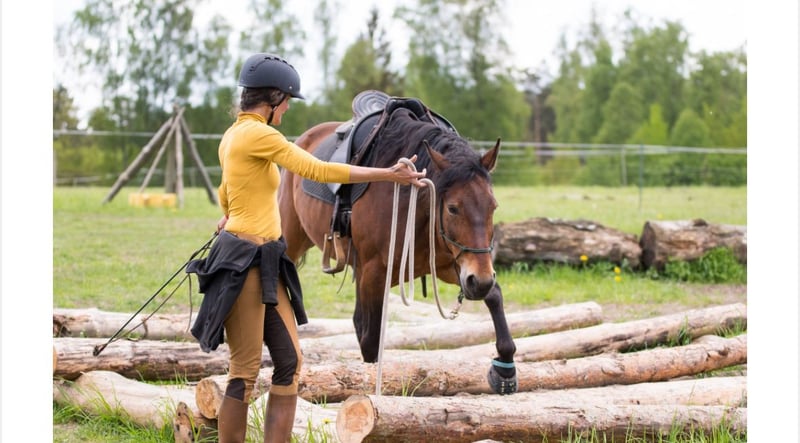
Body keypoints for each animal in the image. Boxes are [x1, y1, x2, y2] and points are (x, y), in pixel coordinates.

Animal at [278, 97, 518, 395]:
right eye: (452, 208)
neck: (415, 205)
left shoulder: (453, 265)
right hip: (292, 239)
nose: (480, 281)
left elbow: (494, 295)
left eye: (493, 206)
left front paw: (504, 369)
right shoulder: (374, 273)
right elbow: (370, 339)